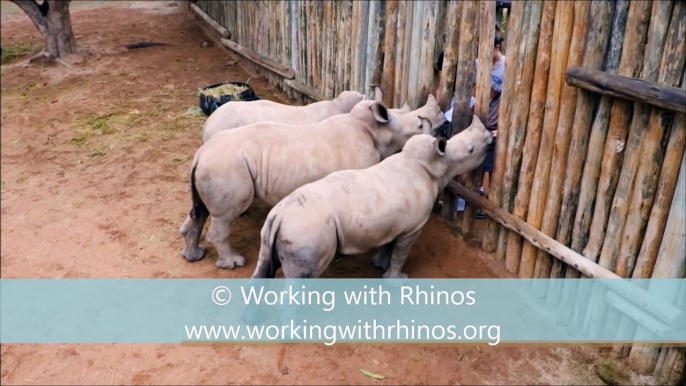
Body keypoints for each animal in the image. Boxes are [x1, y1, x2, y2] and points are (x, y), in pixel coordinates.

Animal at [180, 94, 448, 268]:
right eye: (418, 125)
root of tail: (200, 153)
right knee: (224, 217)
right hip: (226, 167)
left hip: (215, 165)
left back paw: (194, 255)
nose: (442, 128)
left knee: (200, 211)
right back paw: (234, 262)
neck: (376, 131)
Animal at [250, 115, 492, 280]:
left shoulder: (396, 222)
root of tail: (280, 215)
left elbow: (389, 246)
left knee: (263, 264)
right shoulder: (413, 227)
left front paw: (379, 265)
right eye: (471, 150)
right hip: (306, 231)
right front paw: (397, 278)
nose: (490, 137)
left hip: (276, 227)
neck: (435, 165)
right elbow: (400, 254)